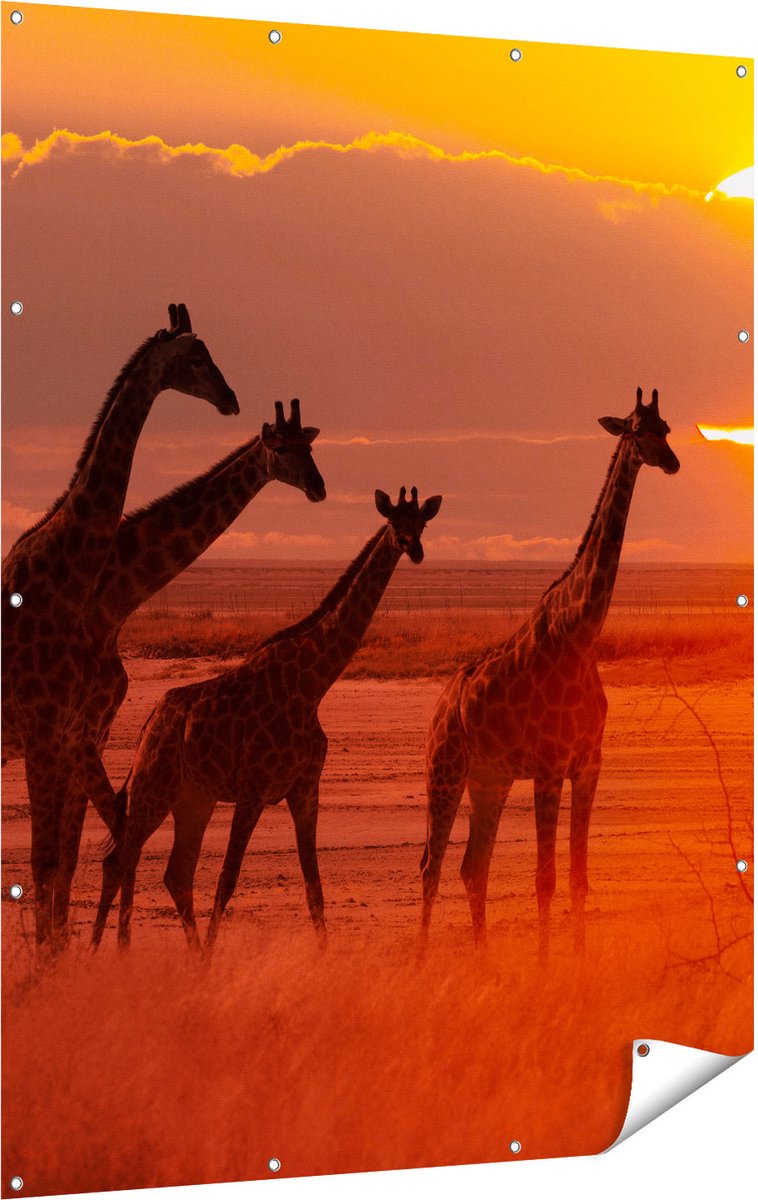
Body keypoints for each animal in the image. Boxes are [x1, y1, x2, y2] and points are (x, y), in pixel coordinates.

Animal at [2, 303, 238, 945]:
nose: (231, 399)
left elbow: (68, 858)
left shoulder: (78, 733)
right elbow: (50, 861)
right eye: (195, 356)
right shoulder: (46, 732)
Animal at [92, 486, 443, 950]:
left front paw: (324, 956)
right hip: (155, 789)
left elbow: (314, 887)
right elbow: (227, 880)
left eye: (421, 523)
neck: (312, 684)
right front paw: (213, 957)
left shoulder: (305, 790)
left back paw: (182, 953)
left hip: (193, 799)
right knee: (119, 860)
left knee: (174, 873)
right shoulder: (253, 790)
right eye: (393, 522)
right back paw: (98, 953)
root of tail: (148, 725)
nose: (413, 548)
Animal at [420, 388, 680, 957]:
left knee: (473, 867)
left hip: (488, 780)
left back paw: (484, 961)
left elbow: (579, 877)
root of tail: (441, 704)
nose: (672, 462)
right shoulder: (548, 766)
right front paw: (544, 966)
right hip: (444, 770)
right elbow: (546, 878)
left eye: (667, 428)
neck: (581, 634)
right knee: (431, 865)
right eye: (636, 430)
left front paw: (576, 963)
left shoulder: (588, 764)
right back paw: (425, 962)